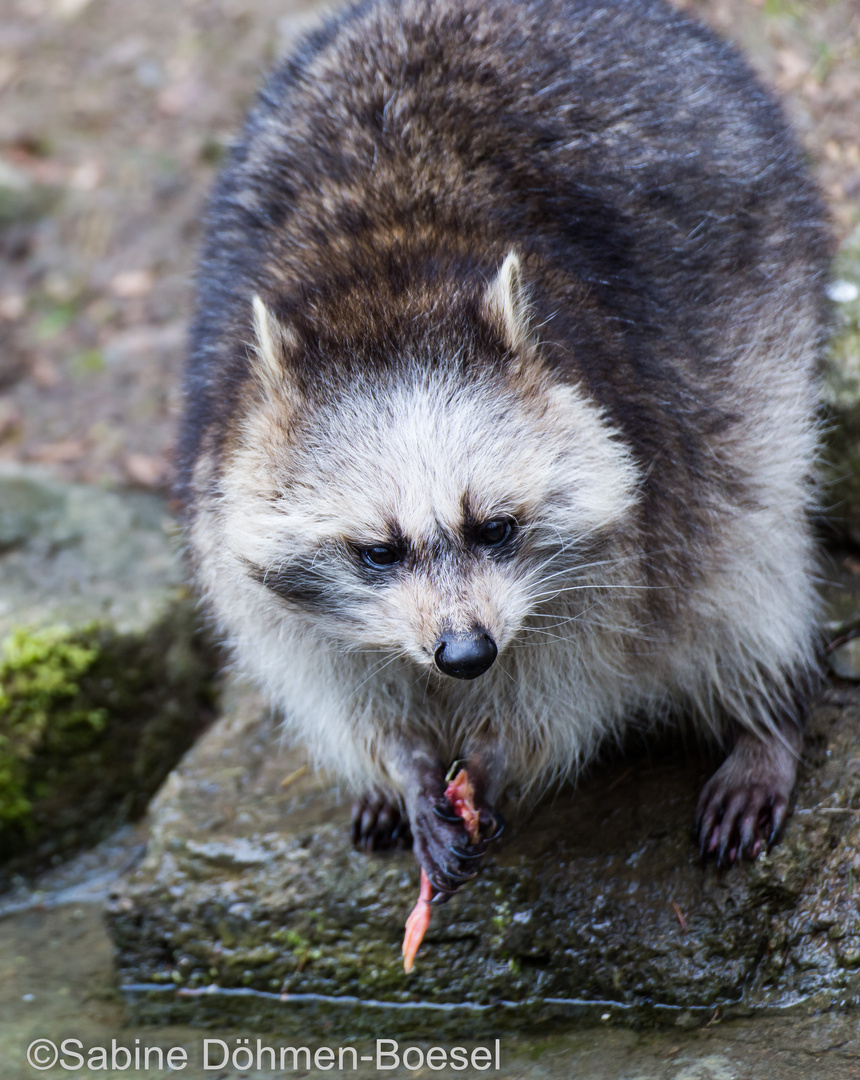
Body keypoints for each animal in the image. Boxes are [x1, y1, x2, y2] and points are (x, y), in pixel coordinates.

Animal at [176, 0, 834, 898]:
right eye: (378, 552)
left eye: (495, 528)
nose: (466, 655)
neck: (386, 285)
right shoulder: (233, 513)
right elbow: (339, 687)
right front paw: (403, 766)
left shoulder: (635, 499)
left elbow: (575, 679)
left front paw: (493, 752)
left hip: (757, 328)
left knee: (743, 548)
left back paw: (765, 717)